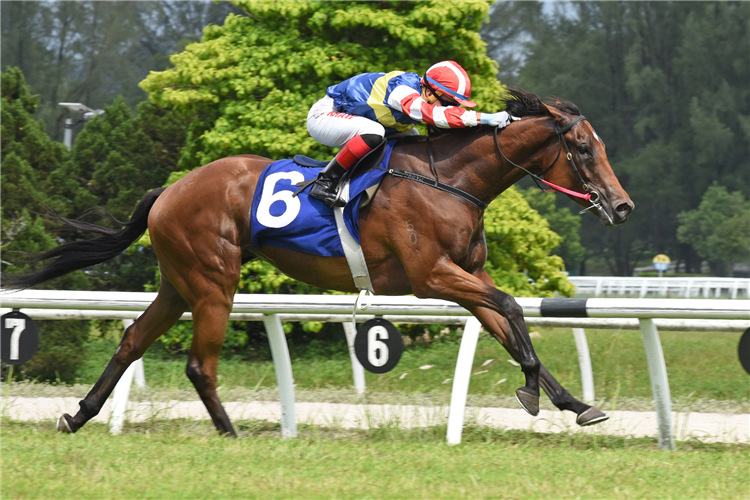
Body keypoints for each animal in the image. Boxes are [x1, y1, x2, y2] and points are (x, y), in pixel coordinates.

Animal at [4, 88, 636, 436]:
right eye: (583, 149)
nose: (623, 206)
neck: (450, 179)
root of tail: (170, 189)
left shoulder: (466, 274)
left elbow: (507, 325)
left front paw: (576, 404)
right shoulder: (432, 276)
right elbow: (510, 310)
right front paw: (533, 392)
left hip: (179, 282)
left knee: (133, 339)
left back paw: (78, 416)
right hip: (213, 281)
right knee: (199, 365)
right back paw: (232, 433)